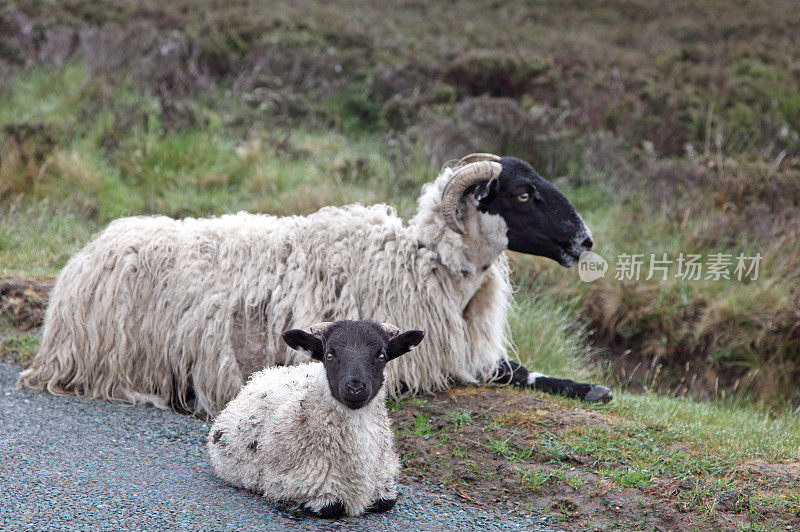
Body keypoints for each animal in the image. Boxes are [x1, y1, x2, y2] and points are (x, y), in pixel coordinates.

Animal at [15, 152, 608, 414]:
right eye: (524, 194)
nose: (585, 240)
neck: (424, 264)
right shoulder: (421, 361)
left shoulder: (458, 353)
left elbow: (519, 372)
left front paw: (589, 388)